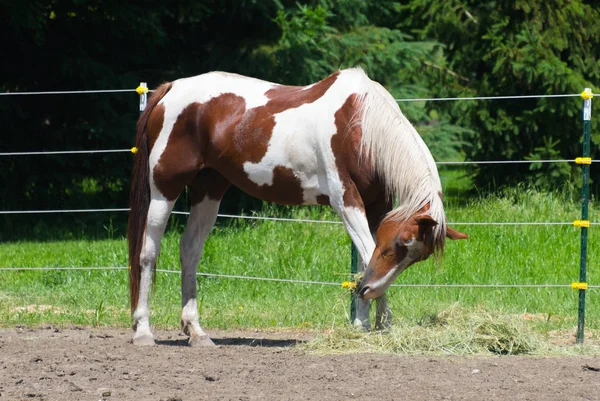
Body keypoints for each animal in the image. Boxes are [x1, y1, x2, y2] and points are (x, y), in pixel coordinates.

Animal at [127, 67, 468, 346]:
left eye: (415, 257)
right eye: (396, 246)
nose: (368, 290)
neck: (360, 126)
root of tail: (170, 88)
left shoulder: (376, 205)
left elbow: (363, 258)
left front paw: (371, 324)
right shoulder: (346, 201)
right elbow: (367, 251)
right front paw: (372, 324)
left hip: (208, 190)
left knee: (190, 251)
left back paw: (196, 332)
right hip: (164, 190)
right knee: (148, 252)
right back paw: (143, 331)